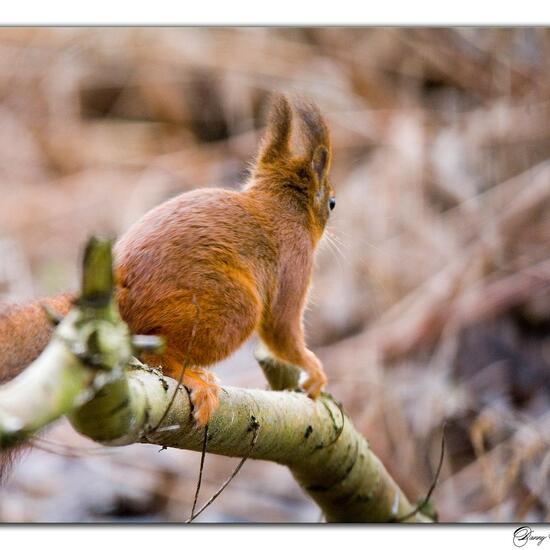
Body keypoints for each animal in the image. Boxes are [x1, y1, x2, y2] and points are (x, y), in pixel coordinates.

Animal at [0, 94, 336, 432]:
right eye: (332, 202)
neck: (278, 207)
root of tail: (119, 291)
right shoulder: (296, 260)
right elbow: (282, 329)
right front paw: (314, 369)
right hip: (231, 308)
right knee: (157, 355)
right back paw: (190, 376)